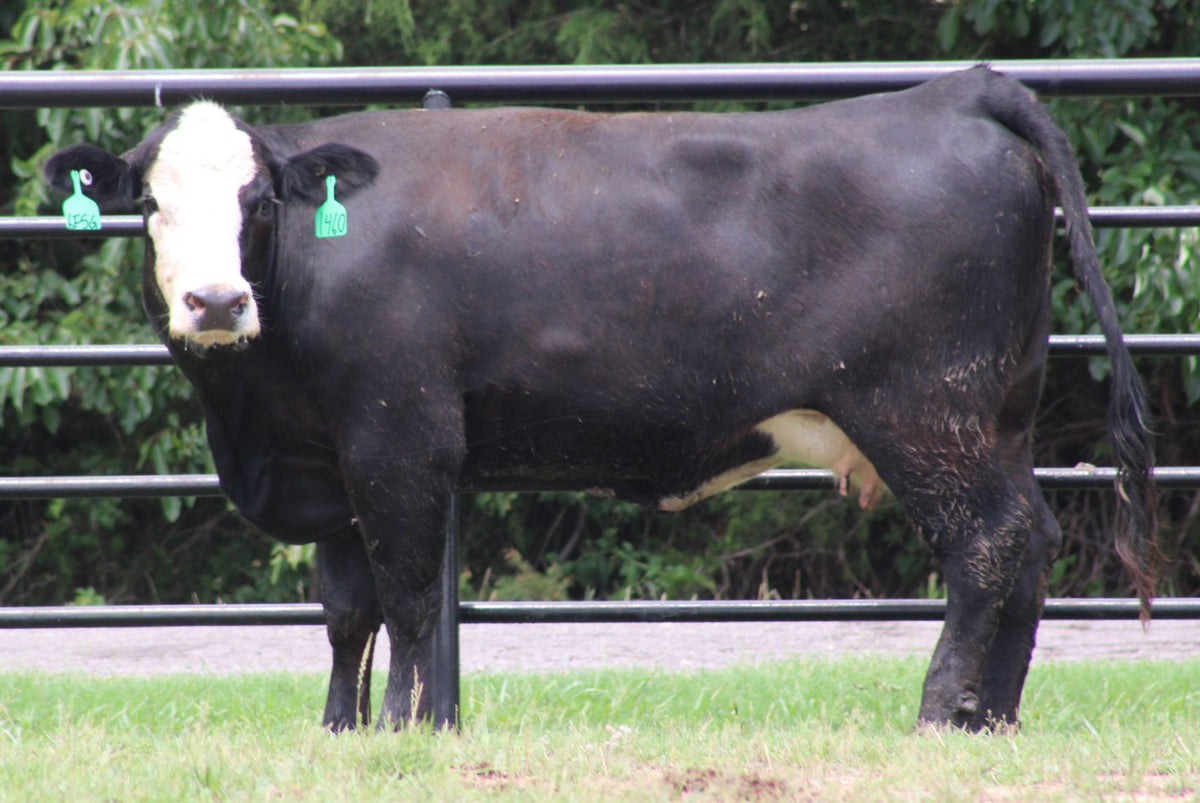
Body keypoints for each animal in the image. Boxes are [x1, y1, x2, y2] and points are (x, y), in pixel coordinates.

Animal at [45, 66, 1157, 732]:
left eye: (259, 199)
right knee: (1034, 536)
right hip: (998, 417)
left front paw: (405, 727)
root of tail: (956, 90)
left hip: (928, 414)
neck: (255, 420)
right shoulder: (327, 456)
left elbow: (407, 598)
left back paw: (937, 710)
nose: (217, 299)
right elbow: (345, 609)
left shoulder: (399, 443)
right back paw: (992, 716)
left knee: (986, 544)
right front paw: (338, 730)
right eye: (151, 204)